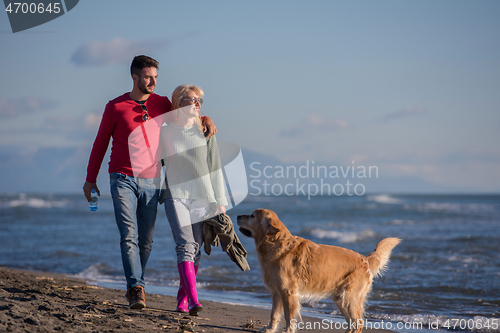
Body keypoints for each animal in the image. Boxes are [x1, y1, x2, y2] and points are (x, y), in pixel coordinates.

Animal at [238, 208, 402, 332]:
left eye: (252, 215)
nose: (238, 215)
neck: (277, 243)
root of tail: (365, 259)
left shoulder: (288, 292)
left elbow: (289, 316)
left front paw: (287, 331)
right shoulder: (276, 292)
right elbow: (274, 315)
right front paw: (269, 330)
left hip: (350, 297)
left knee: (359, 323)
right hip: (340, 298)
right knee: (351, 322)